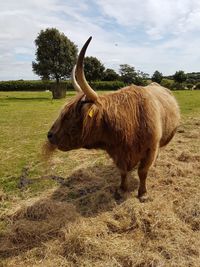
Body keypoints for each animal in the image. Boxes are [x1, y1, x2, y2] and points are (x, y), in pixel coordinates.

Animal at [47, 37, 180, 201]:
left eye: (71, 115)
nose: (50, 135)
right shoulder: (118, 153)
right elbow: (123, 171)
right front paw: (122, 190)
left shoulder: (150, 149)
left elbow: (142, 172)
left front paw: (143, 193)